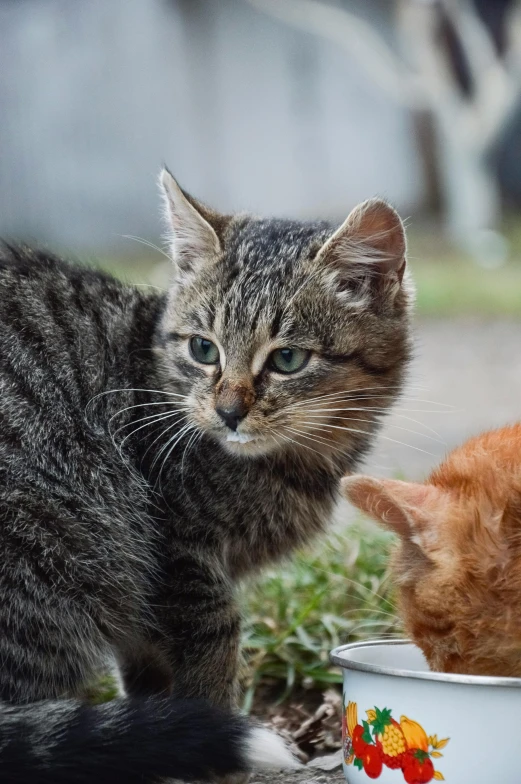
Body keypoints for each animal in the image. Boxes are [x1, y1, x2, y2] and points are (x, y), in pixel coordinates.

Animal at [0, 168, 412, 780]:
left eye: (287, 359)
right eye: (203, 349)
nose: (229, 411)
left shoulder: (147, 596)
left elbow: (147, 671)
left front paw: (158, 742)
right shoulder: (179, 556)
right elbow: (213, 648)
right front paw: (210, 744)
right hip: (58, 538)